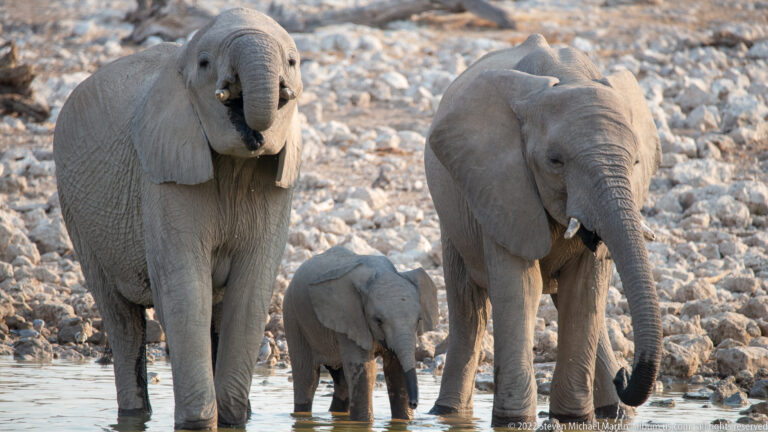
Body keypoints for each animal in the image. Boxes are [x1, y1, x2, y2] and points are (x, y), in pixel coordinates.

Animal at [53, 8, 302, 429]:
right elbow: (185, 293)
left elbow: (250, 295)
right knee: (122, 321)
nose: (254, 132)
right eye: (204, 63)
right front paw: (198, 423)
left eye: (292, 62)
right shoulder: (164, 175)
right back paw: (134, 413)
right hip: (75, 210)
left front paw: (233, 420)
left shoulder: (277, 185)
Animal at [283, 246, 439, 422]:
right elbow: (366, 371)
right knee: (307, 377)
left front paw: (403, 421)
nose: (414, 404)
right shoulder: (350, 316)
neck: (381, 272)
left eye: (418, 320)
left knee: (341, 381)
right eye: (378, 320)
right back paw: (302, 415)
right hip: (293, 318)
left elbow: (396, 370)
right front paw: (364, 423)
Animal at [424, 34, 662, 426]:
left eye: (636, 161)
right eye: (555, 161)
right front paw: (514, 422)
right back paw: (445, 413)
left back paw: (615, 412)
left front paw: (572, 419)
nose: (625, 374)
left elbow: (584, 290)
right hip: (454, 216)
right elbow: (522, 286)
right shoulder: (500, 186)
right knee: (469, 307)